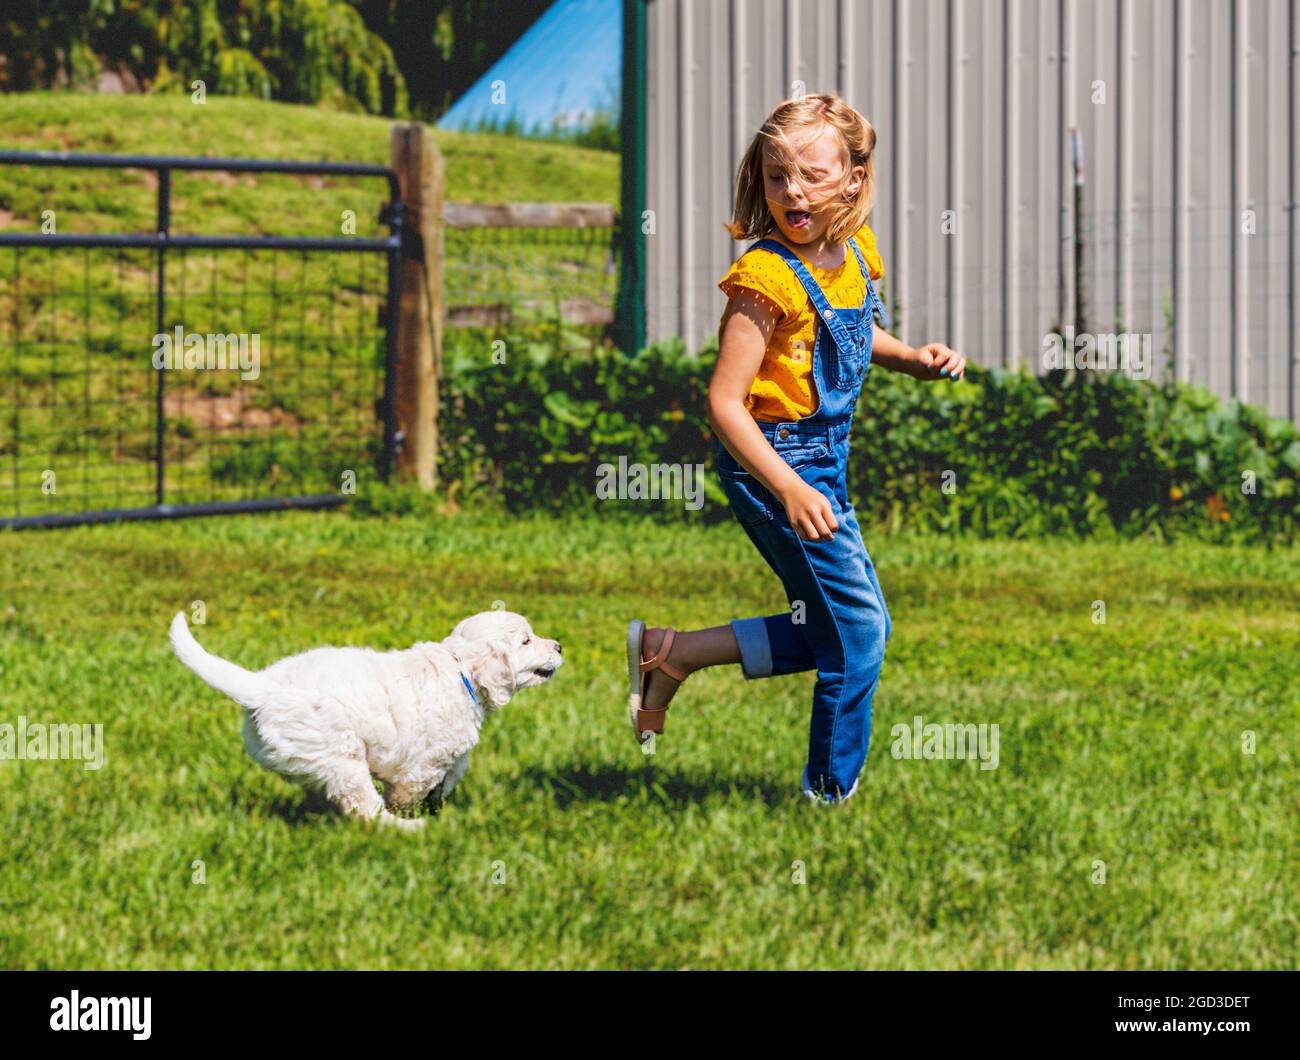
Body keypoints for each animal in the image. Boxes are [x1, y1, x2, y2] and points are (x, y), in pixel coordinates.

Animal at [170, 608, 561, 832]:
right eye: (526, 641)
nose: (559, 646)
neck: (458, 667)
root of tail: (262, 687)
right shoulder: (422, 760)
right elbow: (413, 787)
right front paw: (414, 808)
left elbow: (456, 769)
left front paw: (442, 794)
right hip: (341, 754)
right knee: (364, 804)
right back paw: (407, 828)